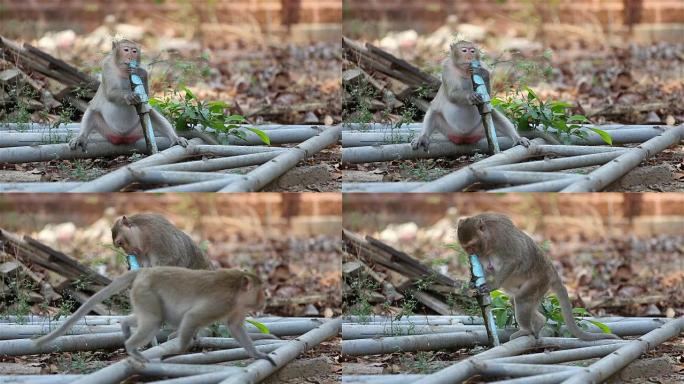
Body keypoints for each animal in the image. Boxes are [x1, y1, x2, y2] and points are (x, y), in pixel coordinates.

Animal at [33, 268, 276, 366]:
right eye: (260, 290)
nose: (264, 299)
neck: (236, 291)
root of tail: (143, 271)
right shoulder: (221, 302)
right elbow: (192, 317)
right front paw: (175, 349)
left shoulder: (236, 308)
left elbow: (235, 328)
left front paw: (258, 355)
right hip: (145, 291)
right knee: (153, 321)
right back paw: (132, 348)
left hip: (141, 294)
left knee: (148, 318)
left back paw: (125, 327)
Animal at [412, 40, 556, 152]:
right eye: (464, 50)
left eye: (472, 51)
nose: (470, 56)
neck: (464, 71)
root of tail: (463, 138)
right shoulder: (447, 69)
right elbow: (452, 94)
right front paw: (471, 96)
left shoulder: (482, 65)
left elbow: (488, 94)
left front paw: (482, 74)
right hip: (447, 129)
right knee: (433, 113)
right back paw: (422, 137)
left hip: (479, 129)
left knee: (493, 114)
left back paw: (517, 138)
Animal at [454, 213, 620, 342]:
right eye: (466, 248)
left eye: (472, 245)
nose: (470, 253)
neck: (489, 238)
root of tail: (551, 269)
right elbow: (485, 268)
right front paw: (472, 283)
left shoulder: (502, 238)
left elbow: (513, 260)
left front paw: (492, 285)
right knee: (515, 300)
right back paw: (540, 322)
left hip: (540, 281)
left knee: (521, 299)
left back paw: (526, 330)